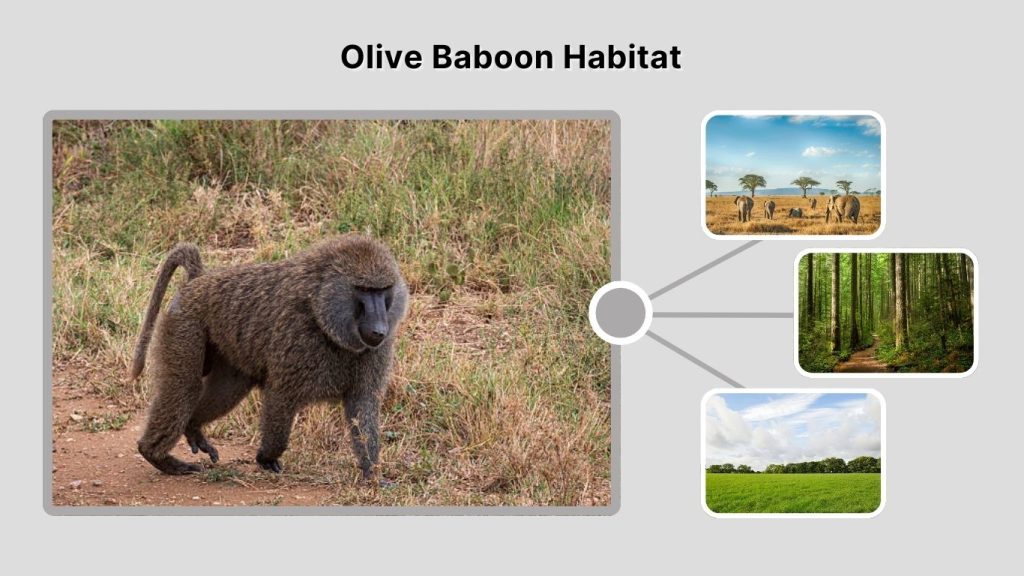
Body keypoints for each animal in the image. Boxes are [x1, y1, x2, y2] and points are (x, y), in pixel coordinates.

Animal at [130, 234, 408, 482]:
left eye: (383, 290)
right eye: (363, 290)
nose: (379, 329)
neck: (321, 311)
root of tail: (198, 280)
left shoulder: (376, 350)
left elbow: (362, 404)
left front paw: (372, 474)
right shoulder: (296, 341)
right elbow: (281, 395)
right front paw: (266, 457)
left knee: (229, 389)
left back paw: (193, 427)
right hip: (186, 324)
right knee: (184, 386)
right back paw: (157, 455)